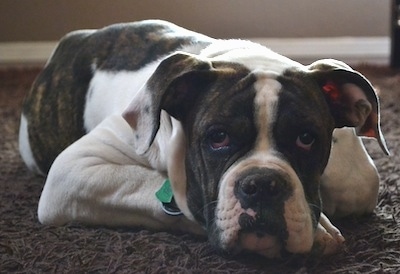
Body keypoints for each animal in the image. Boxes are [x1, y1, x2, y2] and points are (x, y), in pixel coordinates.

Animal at [18, 20, 388, 258]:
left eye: (306, 139)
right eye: (218, 137)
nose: (263, 184)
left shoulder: (356, 175)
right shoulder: (73, 171)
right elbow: (160, 190)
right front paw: (321, 229)